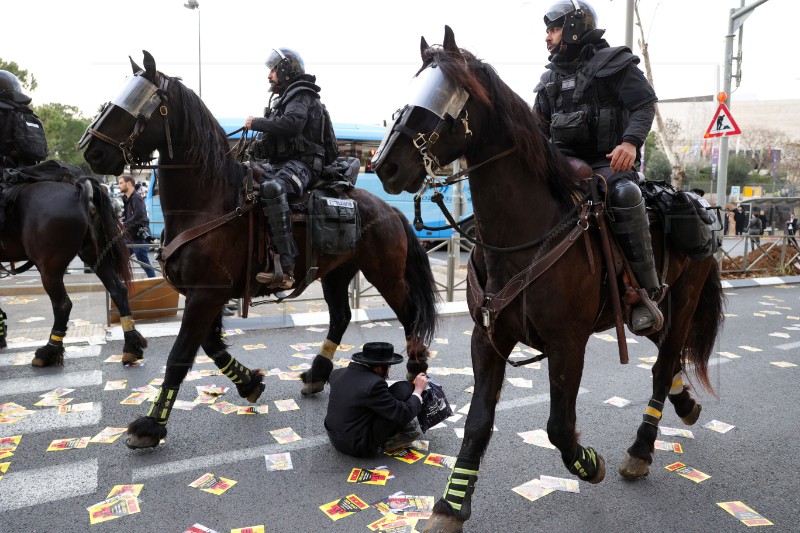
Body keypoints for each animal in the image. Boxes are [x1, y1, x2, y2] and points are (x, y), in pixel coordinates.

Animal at [0, 166, 147, 366]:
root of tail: (79, 189)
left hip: (49, 266)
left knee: (63, 304)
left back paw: (49, 351)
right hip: (95, 254)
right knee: (118, 290)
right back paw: (131, 346)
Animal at [79, 52, 438, 446]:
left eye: (137, 104)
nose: (91, 150)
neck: (207, 202)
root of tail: (389, 209)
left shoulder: (205, 295)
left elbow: (180, 355)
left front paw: (151, 423)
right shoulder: (207, 296)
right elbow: (212, 347)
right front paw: (249, 382)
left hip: (384, 273)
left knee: (409, 314)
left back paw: (417, 369)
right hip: (336, 273)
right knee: (341, 317)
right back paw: (317, 373)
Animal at [372, 27, 720, 528]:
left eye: (445, 93)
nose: (385, 165)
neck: (522, 235)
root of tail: (698, 202)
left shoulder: (567, 342)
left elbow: (558, 425)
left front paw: (588, 463)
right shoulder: (488, 338)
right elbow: (478, 422)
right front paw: (452, 505)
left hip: (683, 304)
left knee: (662, 366)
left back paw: (640, 450)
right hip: (650, 314)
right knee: (663, 356)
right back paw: (686, 405)